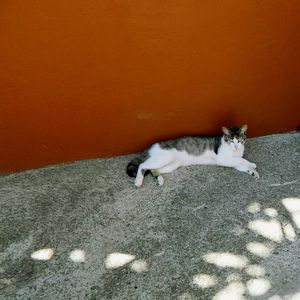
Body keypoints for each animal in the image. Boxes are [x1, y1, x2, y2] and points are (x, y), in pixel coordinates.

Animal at [125, 125, 258, 188]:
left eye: (239, 140)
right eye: (231, 141)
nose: (236, 146)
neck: (235, 151)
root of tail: (152, 145)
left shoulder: (231, 161)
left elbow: (241, 164)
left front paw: (252, 171)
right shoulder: (224, 159)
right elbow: (240, 160)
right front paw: (251, 164)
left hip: (171, 165)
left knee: (153, 169)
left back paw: (160, 179)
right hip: (164, 158)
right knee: (142, 165)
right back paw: (138, 181)